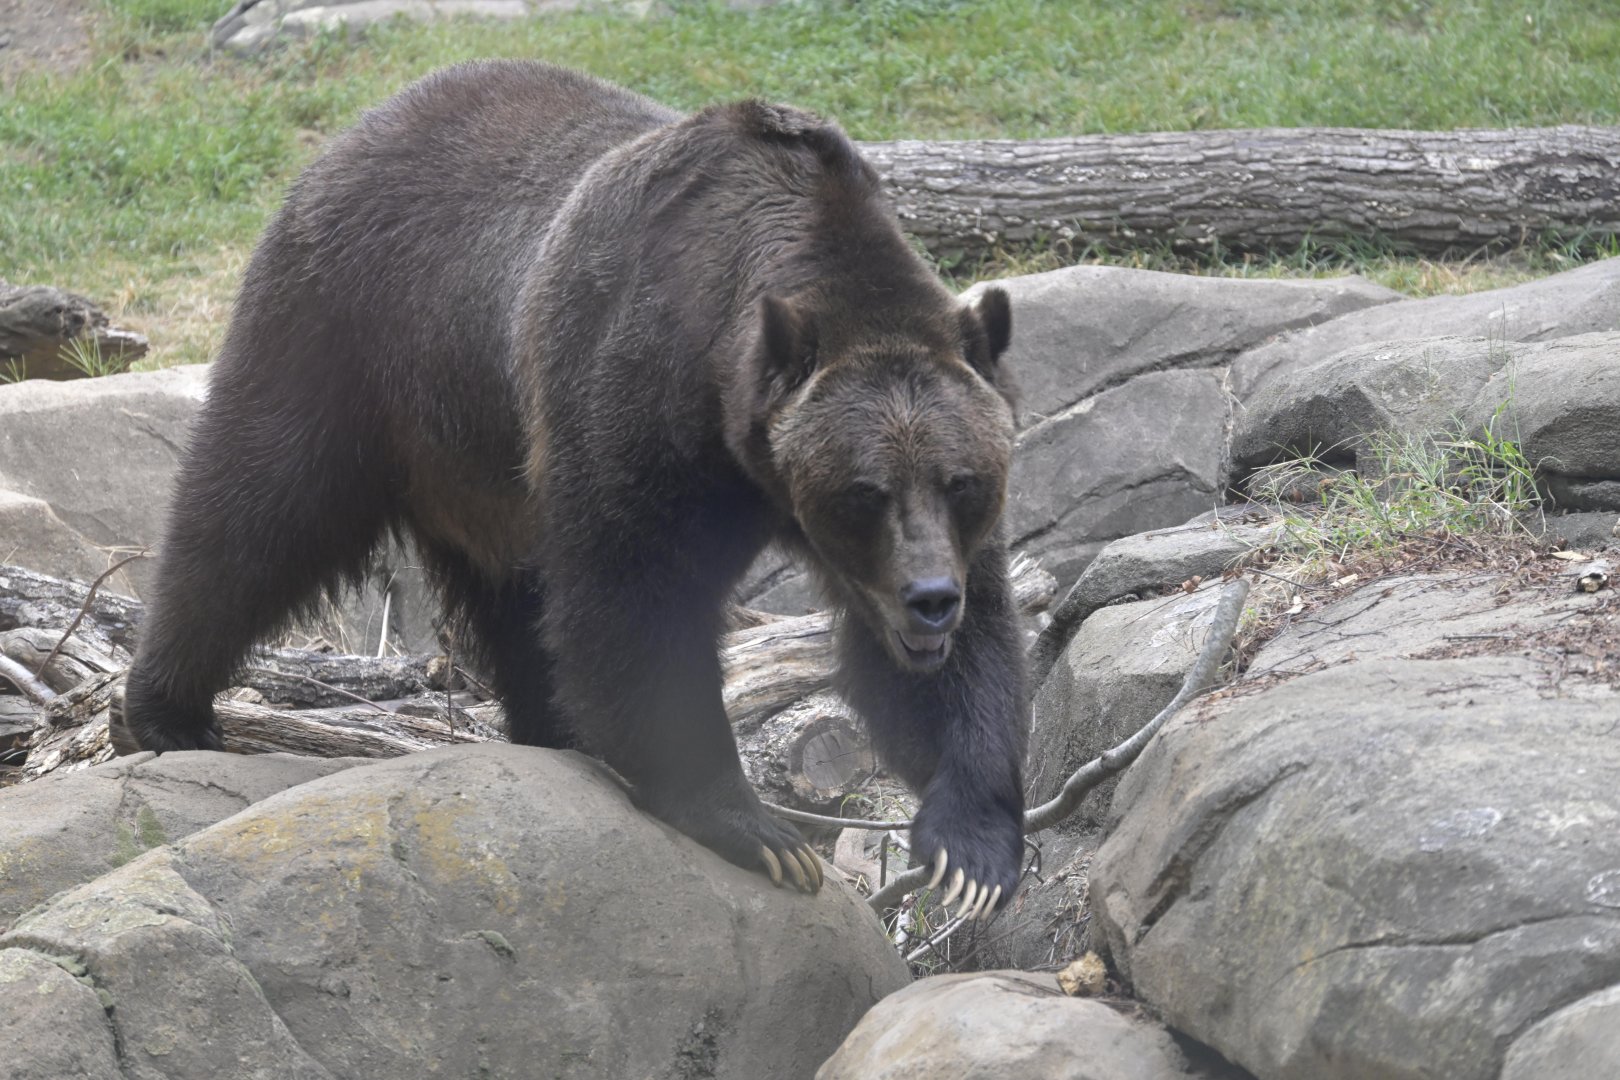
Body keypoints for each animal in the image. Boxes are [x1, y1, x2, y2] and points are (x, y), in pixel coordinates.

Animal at [120, 60, 1028, 912]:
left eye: (963, 482)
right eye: (864, 493)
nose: (928, 601)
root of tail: (353, 132)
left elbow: (964, 650)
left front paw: (970, 852)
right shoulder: (636, 387)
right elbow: (635, 595)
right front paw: (758, 830)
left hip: (484, 466)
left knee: (513, 598)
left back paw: (553, 730)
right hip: (350, 337)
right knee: (257, 512)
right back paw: (167, 706)